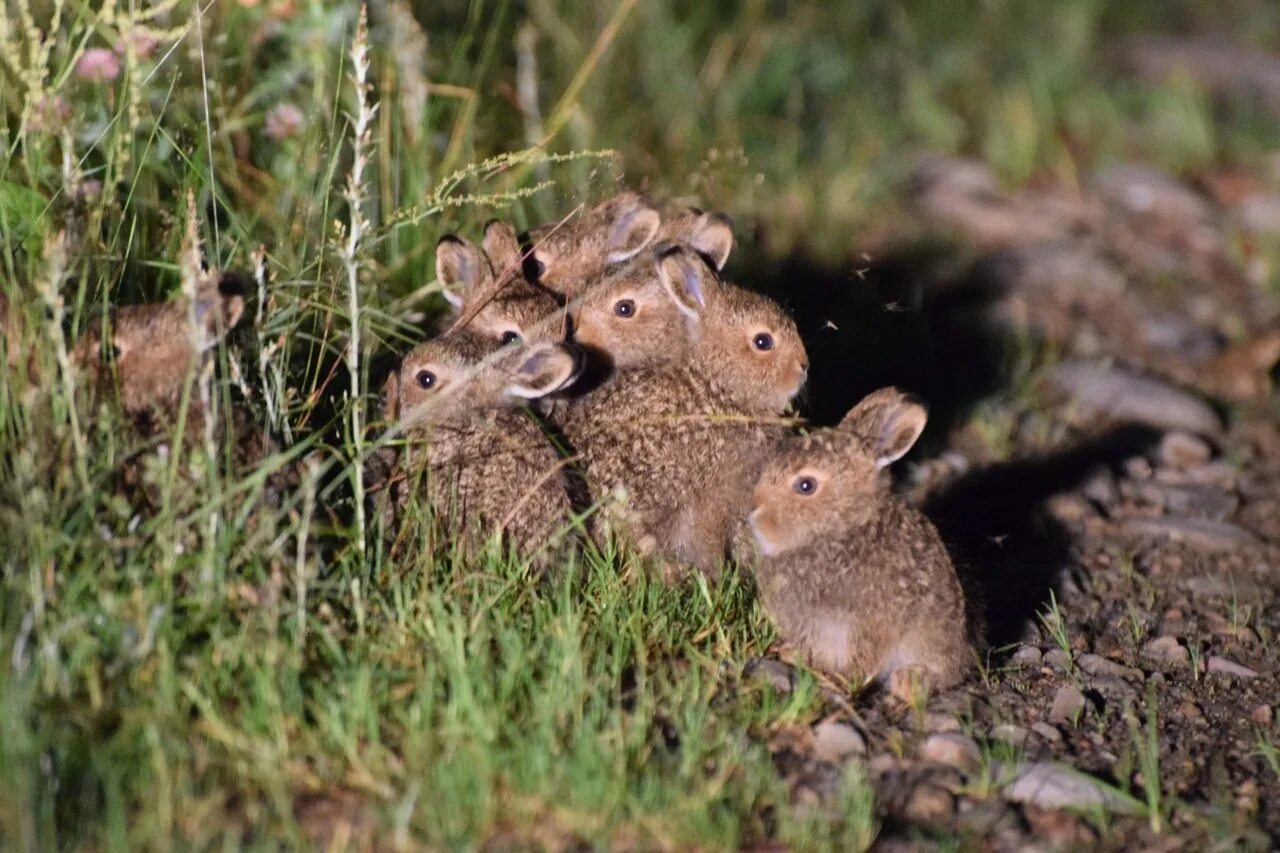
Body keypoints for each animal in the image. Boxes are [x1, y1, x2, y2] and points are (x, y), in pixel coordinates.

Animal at [747, 389, 962, 696]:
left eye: (805, 486)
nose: (754, 508)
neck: (841, 529)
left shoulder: (868, 624)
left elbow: (863, 660)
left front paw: (837, 680)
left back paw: (907, 682)